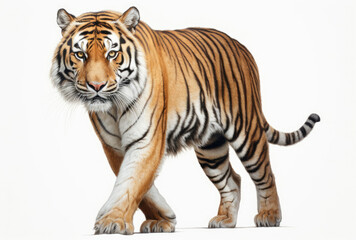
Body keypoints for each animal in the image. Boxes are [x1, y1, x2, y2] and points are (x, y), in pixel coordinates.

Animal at [51, 7, 322, 234]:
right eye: (80, 54)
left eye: (112, 54)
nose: (96, 86)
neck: (114, 105)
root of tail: (242, 48)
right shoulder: (114, 146)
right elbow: (138, 184)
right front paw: (162, 219)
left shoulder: (146, 140)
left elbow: (131, 182)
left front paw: (113, 222)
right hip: (211, 146)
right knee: (232, 179)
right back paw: (225, 221)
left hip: (246, 131)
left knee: (265, 174)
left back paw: (269, 215)